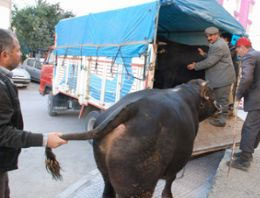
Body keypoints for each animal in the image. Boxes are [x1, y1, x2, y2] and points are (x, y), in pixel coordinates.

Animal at [45, 79, 219, 198]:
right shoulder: (177, 163)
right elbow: (169, 184)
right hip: (138, 185)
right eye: (211, 94)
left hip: (105, 173)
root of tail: (135, 107)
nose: (221, 106)